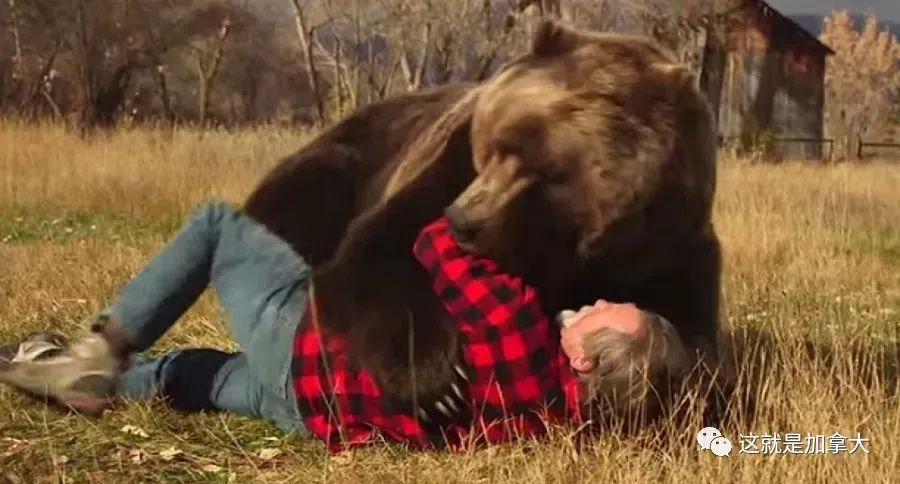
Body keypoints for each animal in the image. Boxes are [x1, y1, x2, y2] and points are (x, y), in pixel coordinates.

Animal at [243, 19, 720, 404]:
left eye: (546, 172)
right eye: (491, 147)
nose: (464, 222)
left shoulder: (668, 249)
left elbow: (699, 353)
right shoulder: (442, 166)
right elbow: (377, 251)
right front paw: (434, 379)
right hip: (344, 159)